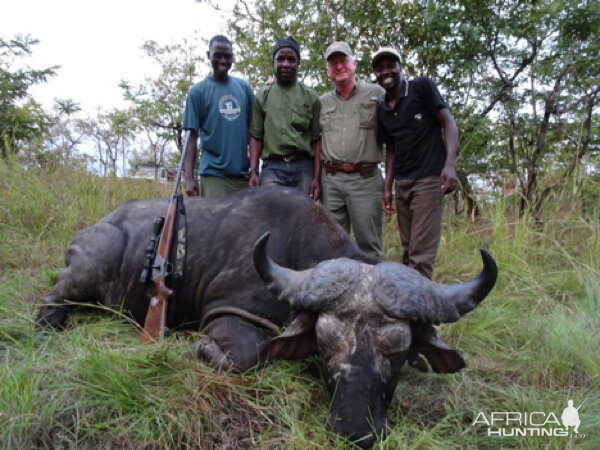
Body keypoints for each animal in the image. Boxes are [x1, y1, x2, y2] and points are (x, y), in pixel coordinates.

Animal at [36, 185, 496, 446]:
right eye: (325, 345)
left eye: (399, 351)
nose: (355, 431)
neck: (292, 248)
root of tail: (99, 225)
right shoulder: (229, 314)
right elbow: (250, 354)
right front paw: (203, 351)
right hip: (88, 269)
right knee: (54, 298)